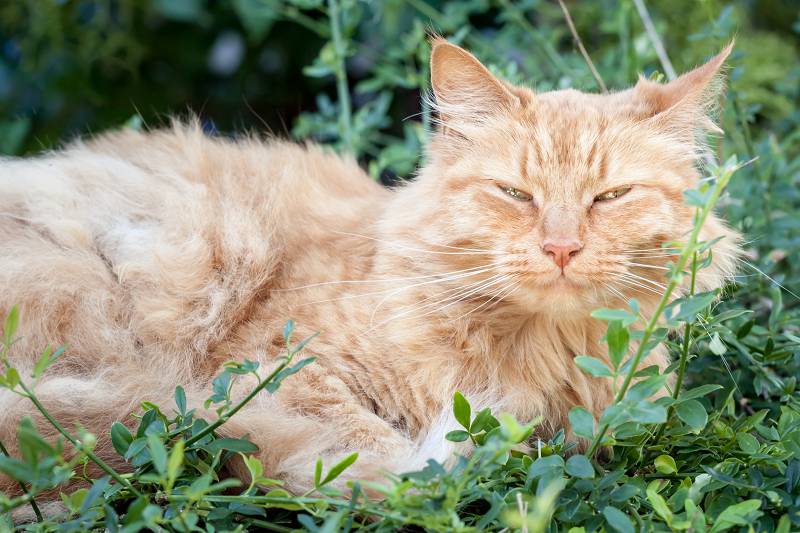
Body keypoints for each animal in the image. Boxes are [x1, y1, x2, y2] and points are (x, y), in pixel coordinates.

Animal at [0, 40, 736, 494]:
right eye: (515, 194)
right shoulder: (271, 367)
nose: (560, 247)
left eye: (610, 197)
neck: (533, 355)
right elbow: (369, 449)